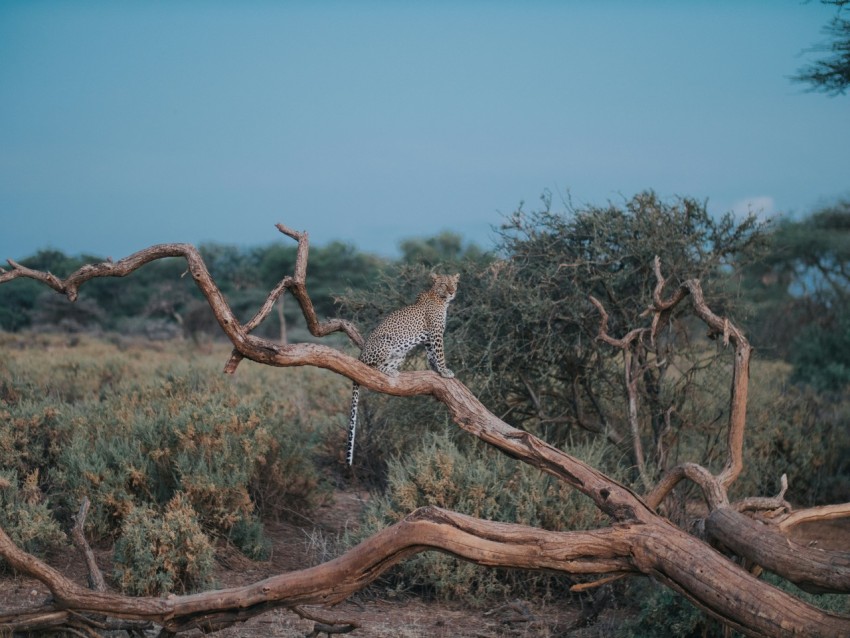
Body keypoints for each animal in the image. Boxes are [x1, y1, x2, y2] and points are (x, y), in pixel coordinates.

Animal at [346, 273, 459, 466]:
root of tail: (360, 355)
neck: (441, 300)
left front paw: (436, 368)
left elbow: (432, 355)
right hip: (385, 342)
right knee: (372, 367)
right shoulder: (436, 333)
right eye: (444, 284)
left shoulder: (428, 339)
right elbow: (440, 353)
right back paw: (388, 371)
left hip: (400, 354)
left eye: (454, 283)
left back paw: (393, 371)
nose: (452, 292)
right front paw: (445, 371)